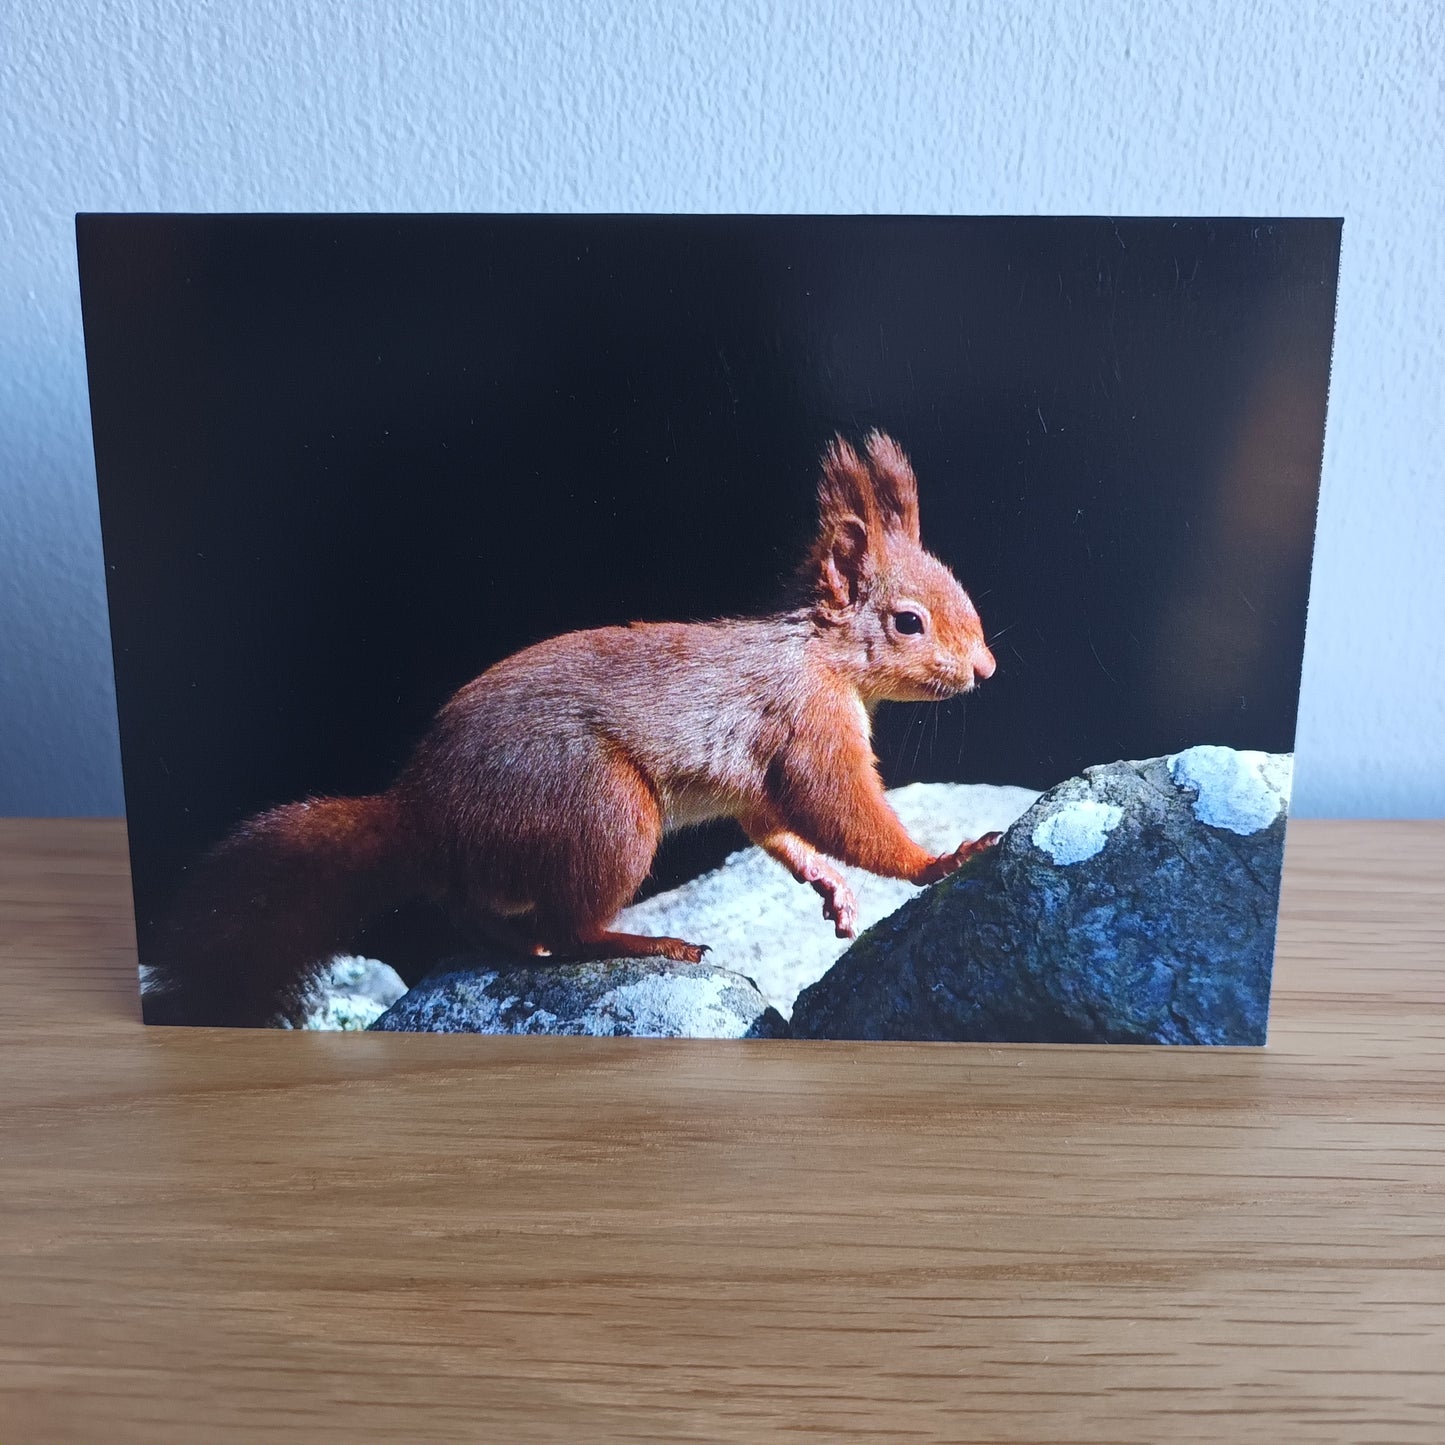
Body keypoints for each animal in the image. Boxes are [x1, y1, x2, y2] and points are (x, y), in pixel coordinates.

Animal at [145, 431, 999, 1026]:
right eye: (909, 622)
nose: (986, 669)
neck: (819, 654)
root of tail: (420, 811)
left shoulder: (761, 778)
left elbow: (777, 829)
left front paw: (828, 887)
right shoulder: (807, 724)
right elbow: (839, 811)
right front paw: (936, 859)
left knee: (480, 913)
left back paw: (514, 941)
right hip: (603, 809)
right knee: (574, 928)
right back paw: (646, 944)